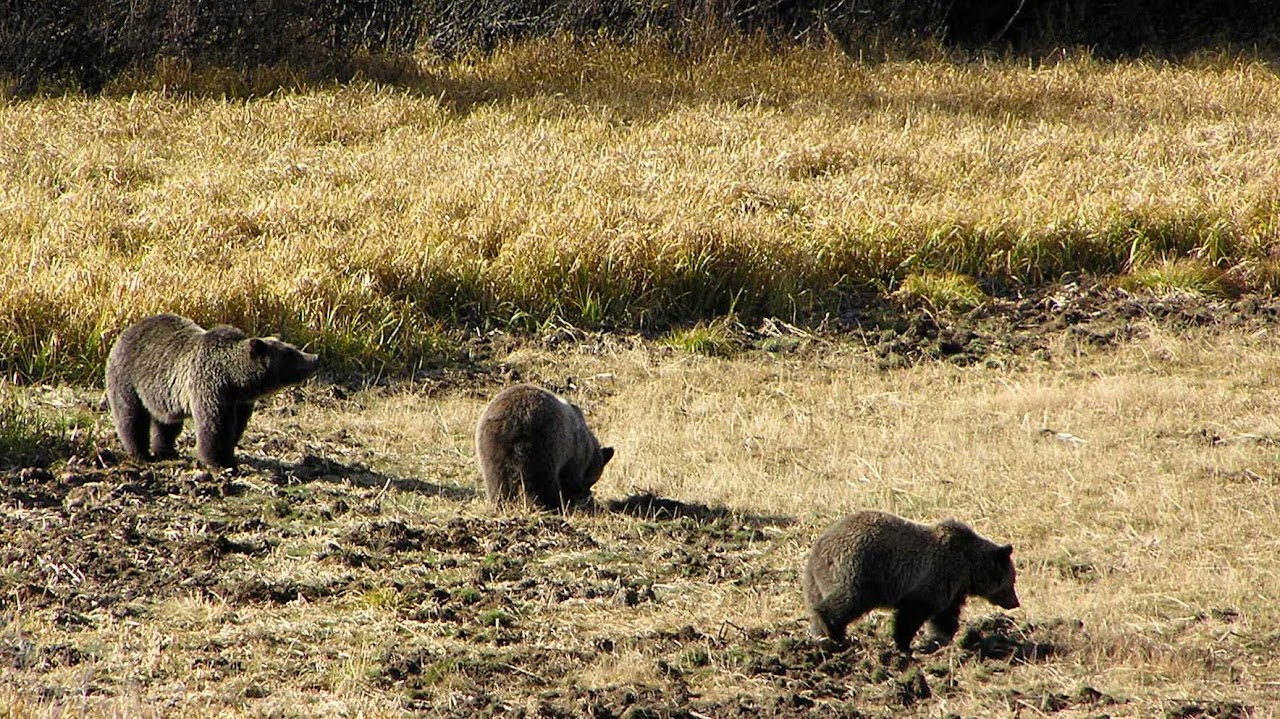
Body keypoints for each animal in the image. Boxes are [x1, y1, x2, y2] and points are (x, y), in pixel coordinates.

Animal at [105, 313, 320, 470]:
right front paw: (220, 463)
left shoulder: (239, 402)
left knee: (166, 422)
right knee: (131, 416)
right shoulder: (209, 386)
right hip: (127, 377)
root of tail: (124, 332)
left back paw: (166, 450)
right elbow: (214, 427)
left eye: (293, 348)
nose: (315, 358)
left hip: (162, 391)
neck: (235, 379)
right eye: (290, 354)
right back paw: (140, 453)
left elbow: (235, 427)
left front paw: (230, 456)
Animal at [475, 383, 614, 511]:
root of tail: (513, 421)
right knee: (541, 481)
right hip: (543, 446)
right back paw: (547, 505)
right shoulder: (572, 454)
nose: (587, 494)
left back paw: (501, 503)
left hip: (491, 447)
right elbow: (569, 479)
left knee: (496, 479)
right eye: (592, 480)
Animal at [802, 510, 1019, 653]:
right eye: (1012, 581)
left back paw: (823, 635)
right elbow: (912, 613)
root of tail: (820, 547)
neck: (968, 569)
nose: (1015, 603)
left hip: (815, 581)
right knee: (847, 601)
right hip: (858, 569)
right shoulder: (934, 577)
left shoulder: (952, 589)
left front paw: (941, 639)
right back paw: (833, 633)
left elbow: (945, 615)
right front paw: (904, 645)